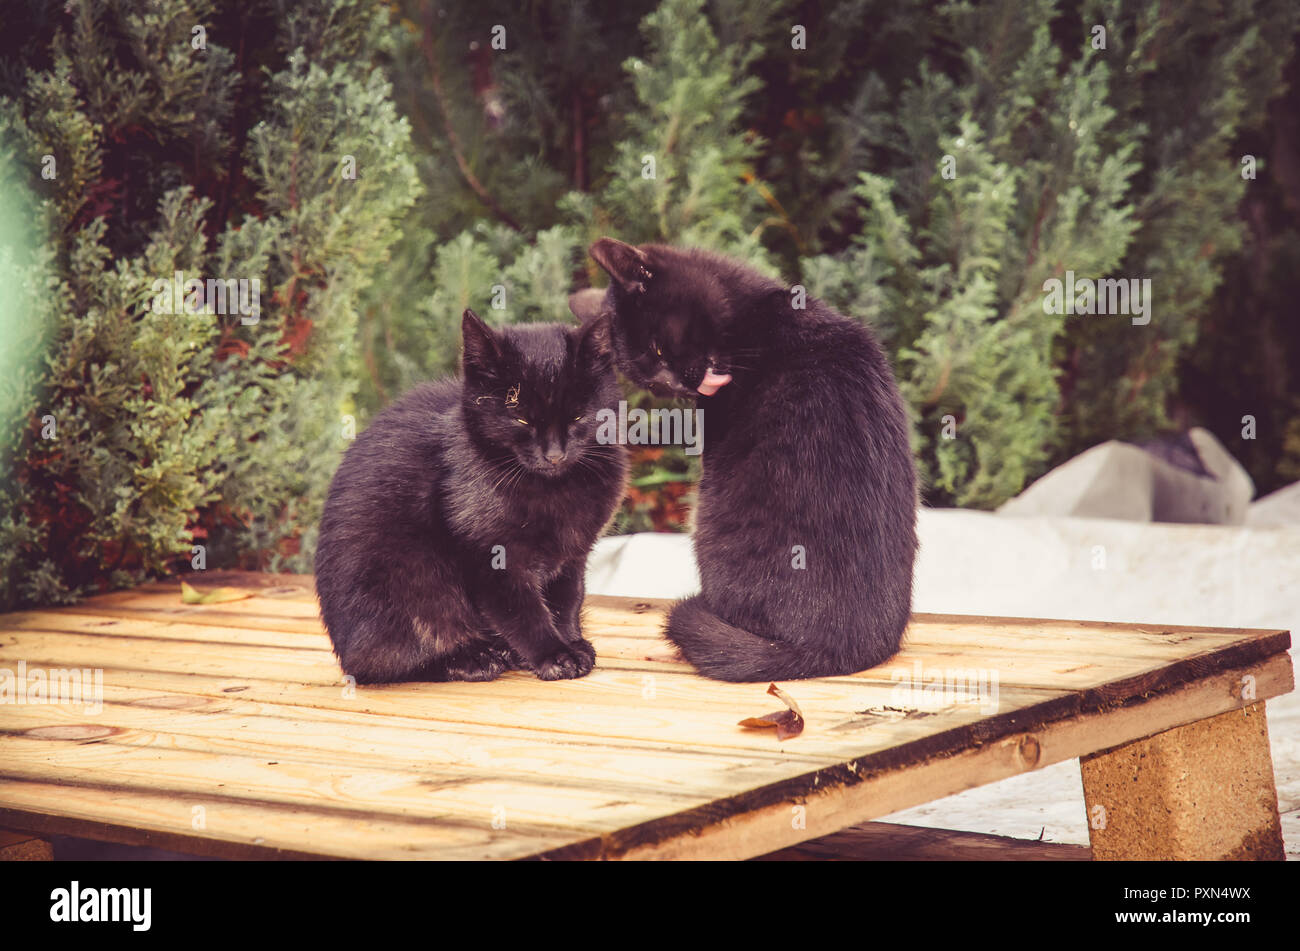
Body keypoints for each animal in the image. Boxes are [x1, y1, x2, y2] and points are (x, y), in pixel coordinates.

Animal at [309, 311, 624, 685]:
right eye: (520, 417)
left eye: (577, 415)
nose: (554, 455)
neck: (553, 490)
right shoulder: (490, 557)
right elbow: (523, 611)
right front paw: (554, 654)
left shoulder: (572, 553)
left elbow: (567, 600)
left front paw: (571, 642)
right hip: (408, 588)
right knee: (386, 661)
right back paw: (472, 659)